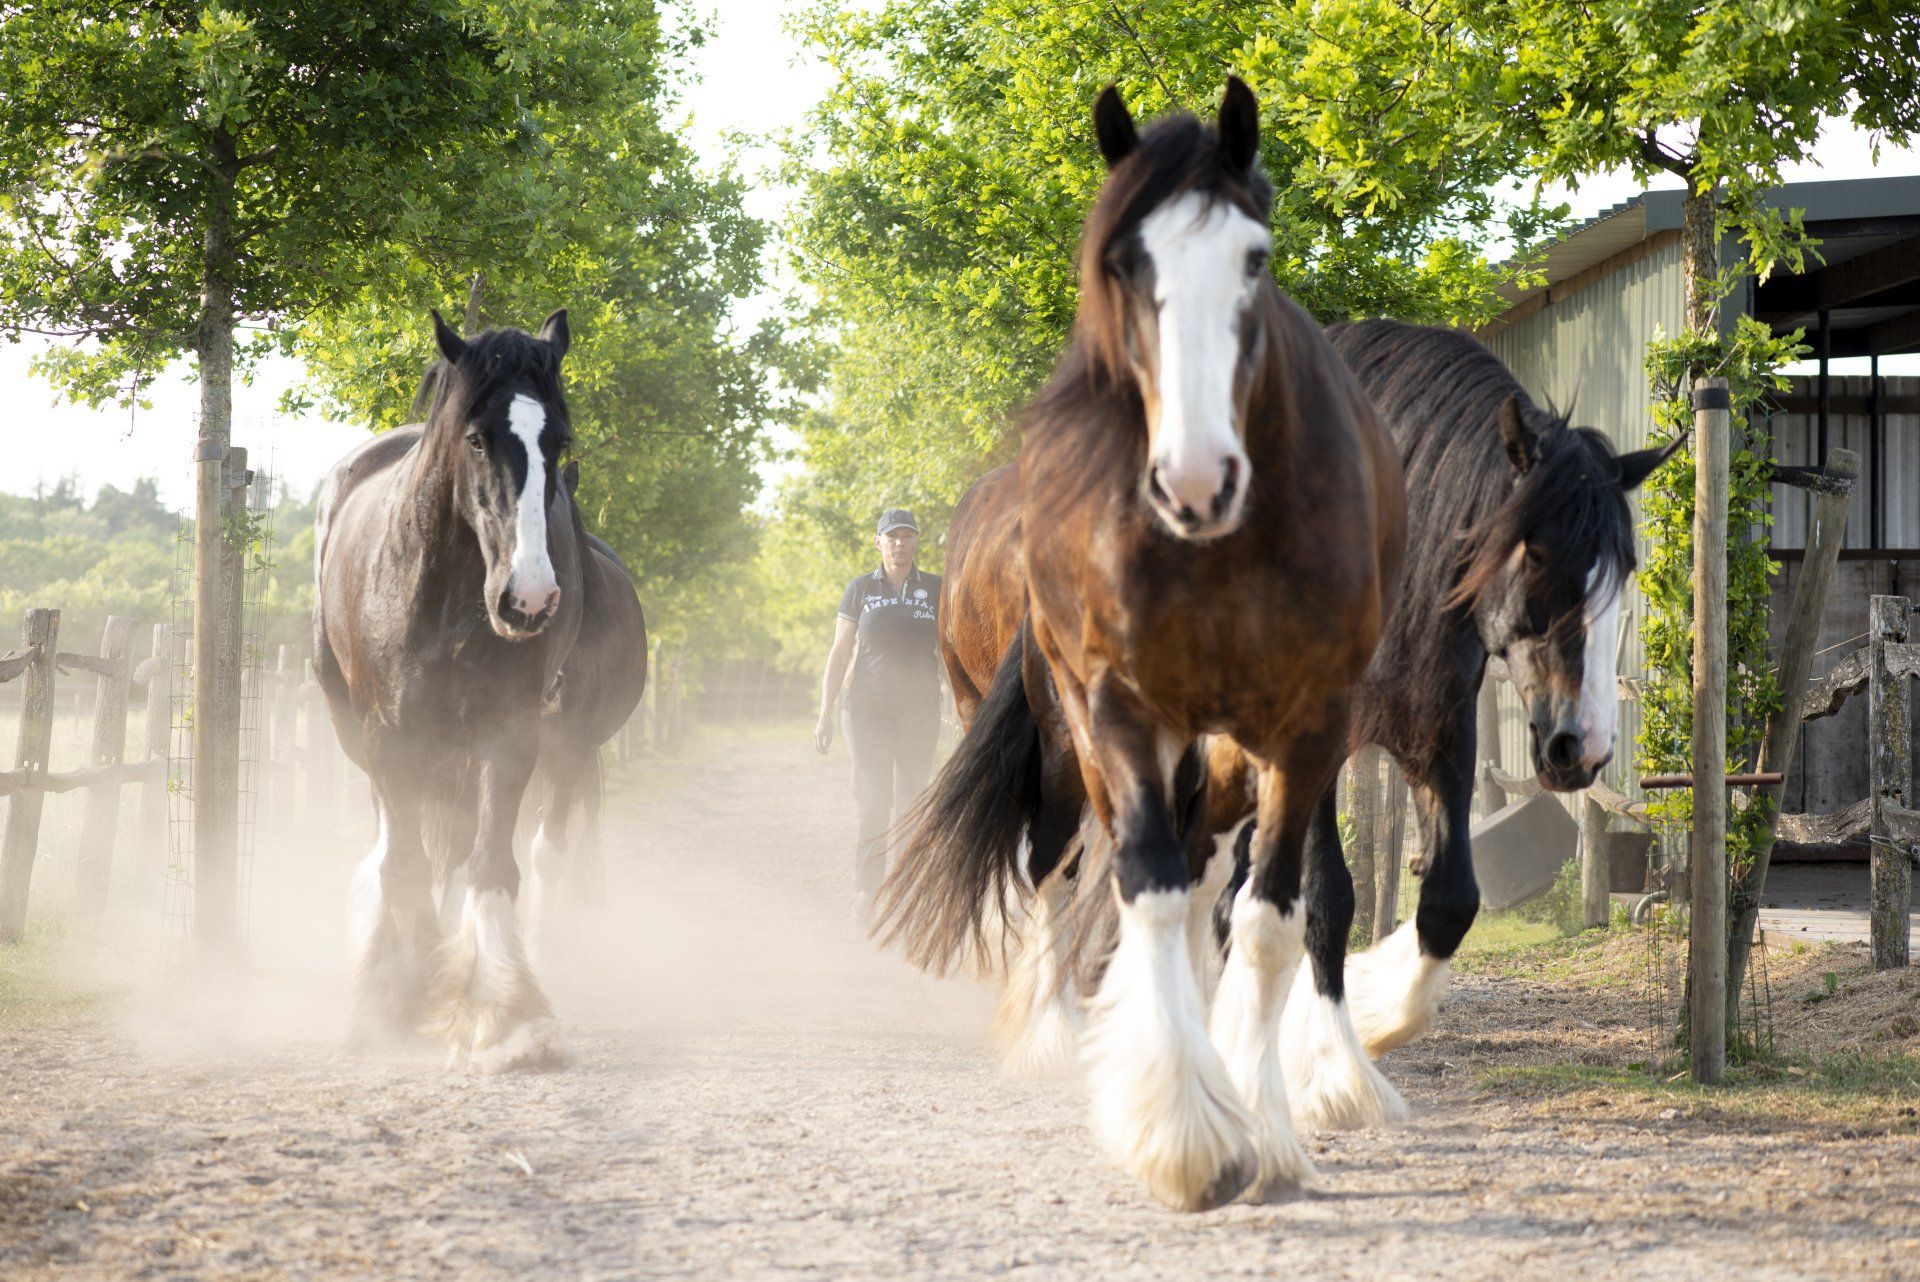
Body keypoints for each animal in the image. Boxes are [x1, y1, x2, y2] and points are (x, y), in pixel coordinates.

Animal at [313, 308, 581, 1073]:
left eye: (560, 440)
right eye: (477, 437)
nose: (529, 599)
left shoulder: (508, 736)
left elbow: (489, 864)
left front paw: (506, 1015)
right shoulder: (388, 738)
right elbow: (404, 864)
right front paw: (396, 1002)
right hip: (361, 736)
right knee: (392, 848)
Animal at [878, 80, 1406, 1212]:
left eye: (1254, 258)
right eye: (1123, 263)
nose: (1195, 477)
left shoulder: (1307, 729)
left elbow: (1270, 916)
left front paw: (1261, 1126)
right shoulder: (1118, 709)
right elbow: (1148, 884)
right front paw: (1188, 1135)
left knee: (1210, 885)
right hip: (1070, 741)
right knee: (1065, 866)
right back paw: (1055, 1028)